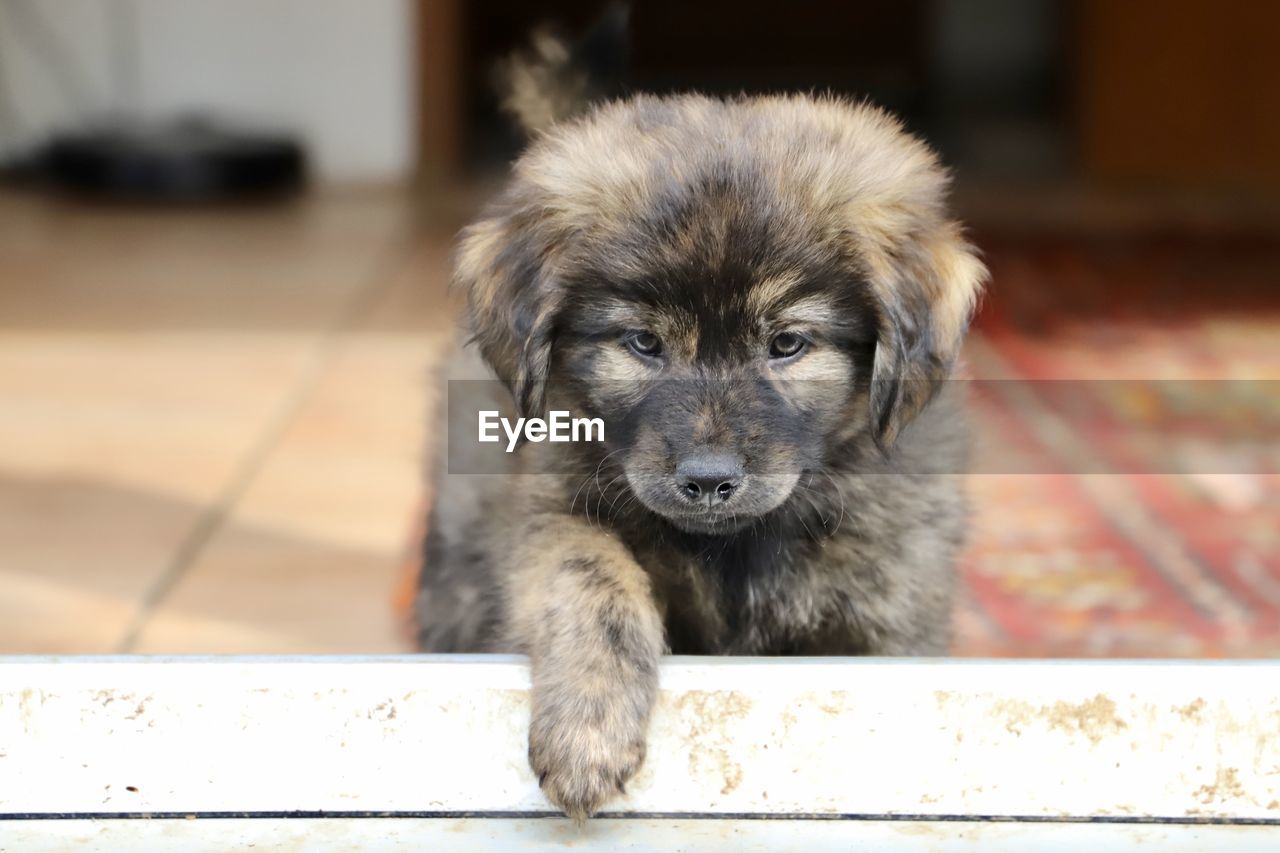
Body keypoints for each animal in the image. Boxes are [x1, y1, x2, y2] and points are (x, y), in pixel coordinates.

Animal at [414, 59, 983, 819]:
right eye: (643, 342)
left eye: (787, 343)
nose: (709, 479)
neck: (733, 552)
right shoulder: (549, 509)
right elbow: (589, 574)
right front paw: (587, 730)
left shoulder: (887, 614)